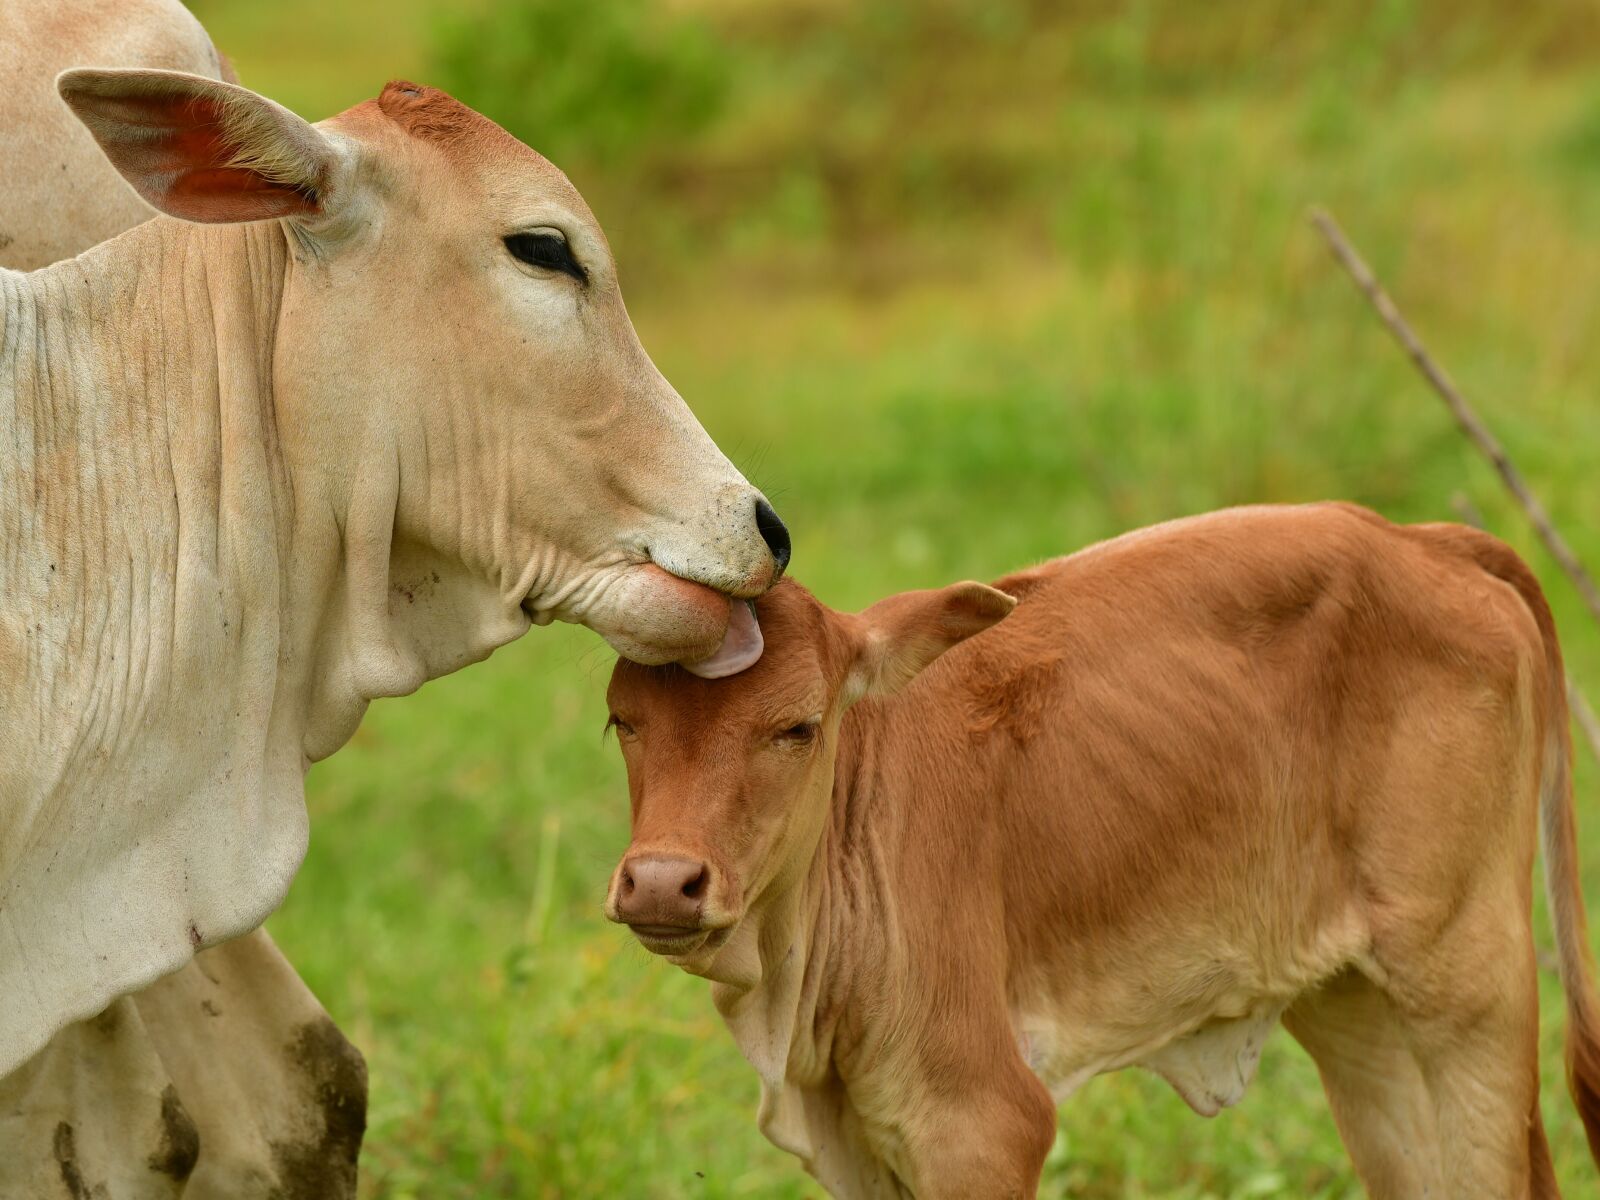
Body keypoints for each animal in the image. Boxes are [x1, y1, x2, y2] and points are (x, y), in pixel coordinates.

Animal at [604, 502, 1600, 1199]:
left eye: (799, 726)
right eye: (622, 720)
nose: (661, 882)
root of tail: (1424, 537)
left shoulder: (981, 1125)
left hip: (1466, 989)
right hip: (1364, 1016)